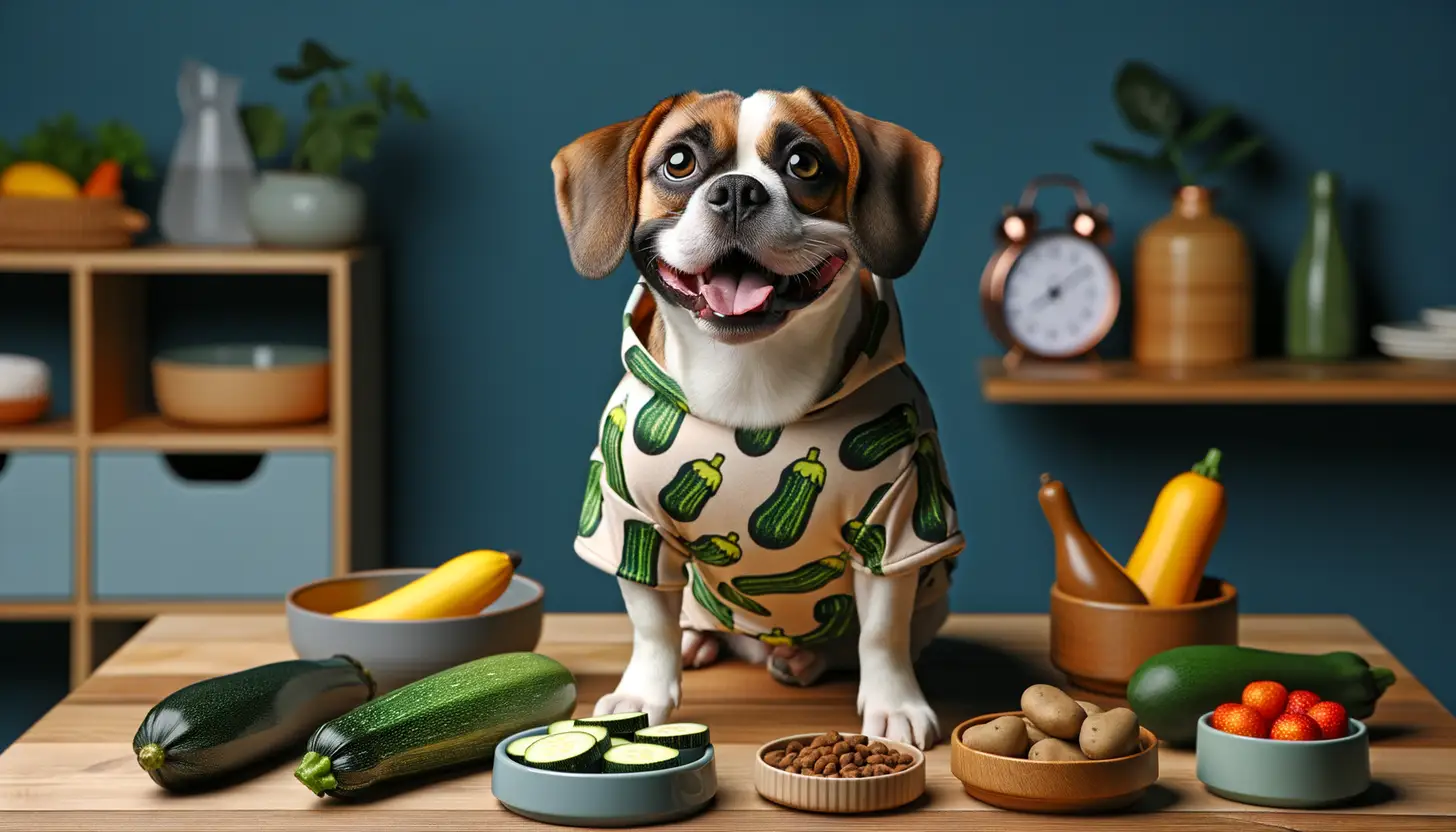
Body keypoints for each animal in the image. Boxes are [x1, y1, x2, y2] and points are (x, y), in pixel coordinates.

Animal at [550, 89, 960, 746]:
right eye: (679, 162)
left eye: (804, 163)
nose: (737, 190)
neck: (748, 376)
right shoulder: (628, 518)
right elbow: (650, 623)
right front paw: (643, 694)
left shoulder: (899, 523)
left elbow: (882, 631)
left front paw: (894, 705)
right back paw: (698, 640)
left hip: (932, 593)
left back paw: (806, 658)